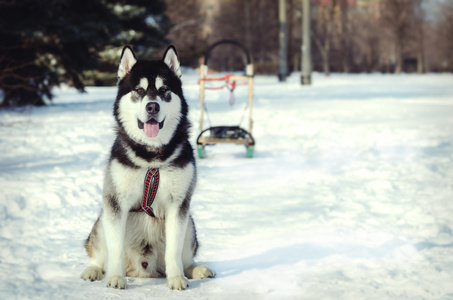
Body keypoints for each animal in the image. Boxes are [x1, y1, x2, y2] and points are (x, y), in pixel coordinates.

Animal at [80, 45, 215, 290]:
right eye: (139, 90)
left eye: (163, 90)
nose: (153, 106)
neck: (152, 158)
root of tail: (142, 269)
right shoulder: (116, 202)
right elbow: (115, 248)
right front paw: (115, 277)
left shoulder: (178, 204)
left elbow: (173, 249)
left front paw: (176, 278)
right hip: (101, 221)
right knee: (98, 254)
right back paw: (94, 270)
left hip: (189, 223)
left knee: (185, 256)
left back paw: (194, 270)